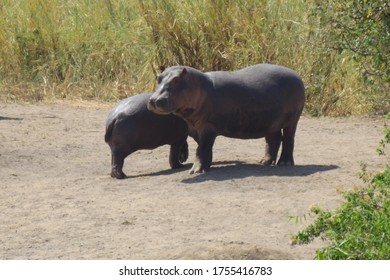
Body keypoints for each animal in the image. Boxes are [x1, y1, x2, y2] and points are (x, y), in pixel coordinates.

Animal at [148, 63, 306, 174]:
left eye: (176, 80)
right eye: (158, 78)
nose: (154, 100)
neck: (199, 87)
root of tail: (296, 75)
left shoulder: (207, 127)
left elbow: (202, 149)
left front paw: (196, 171)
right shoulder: (194, 128)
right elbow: (204, 149)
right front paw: (207, 166)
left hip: (292, 120)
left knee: (288, 139)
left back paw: (284, 163)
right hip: (270, 121)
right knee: (274, 139)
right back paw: (264, 162)